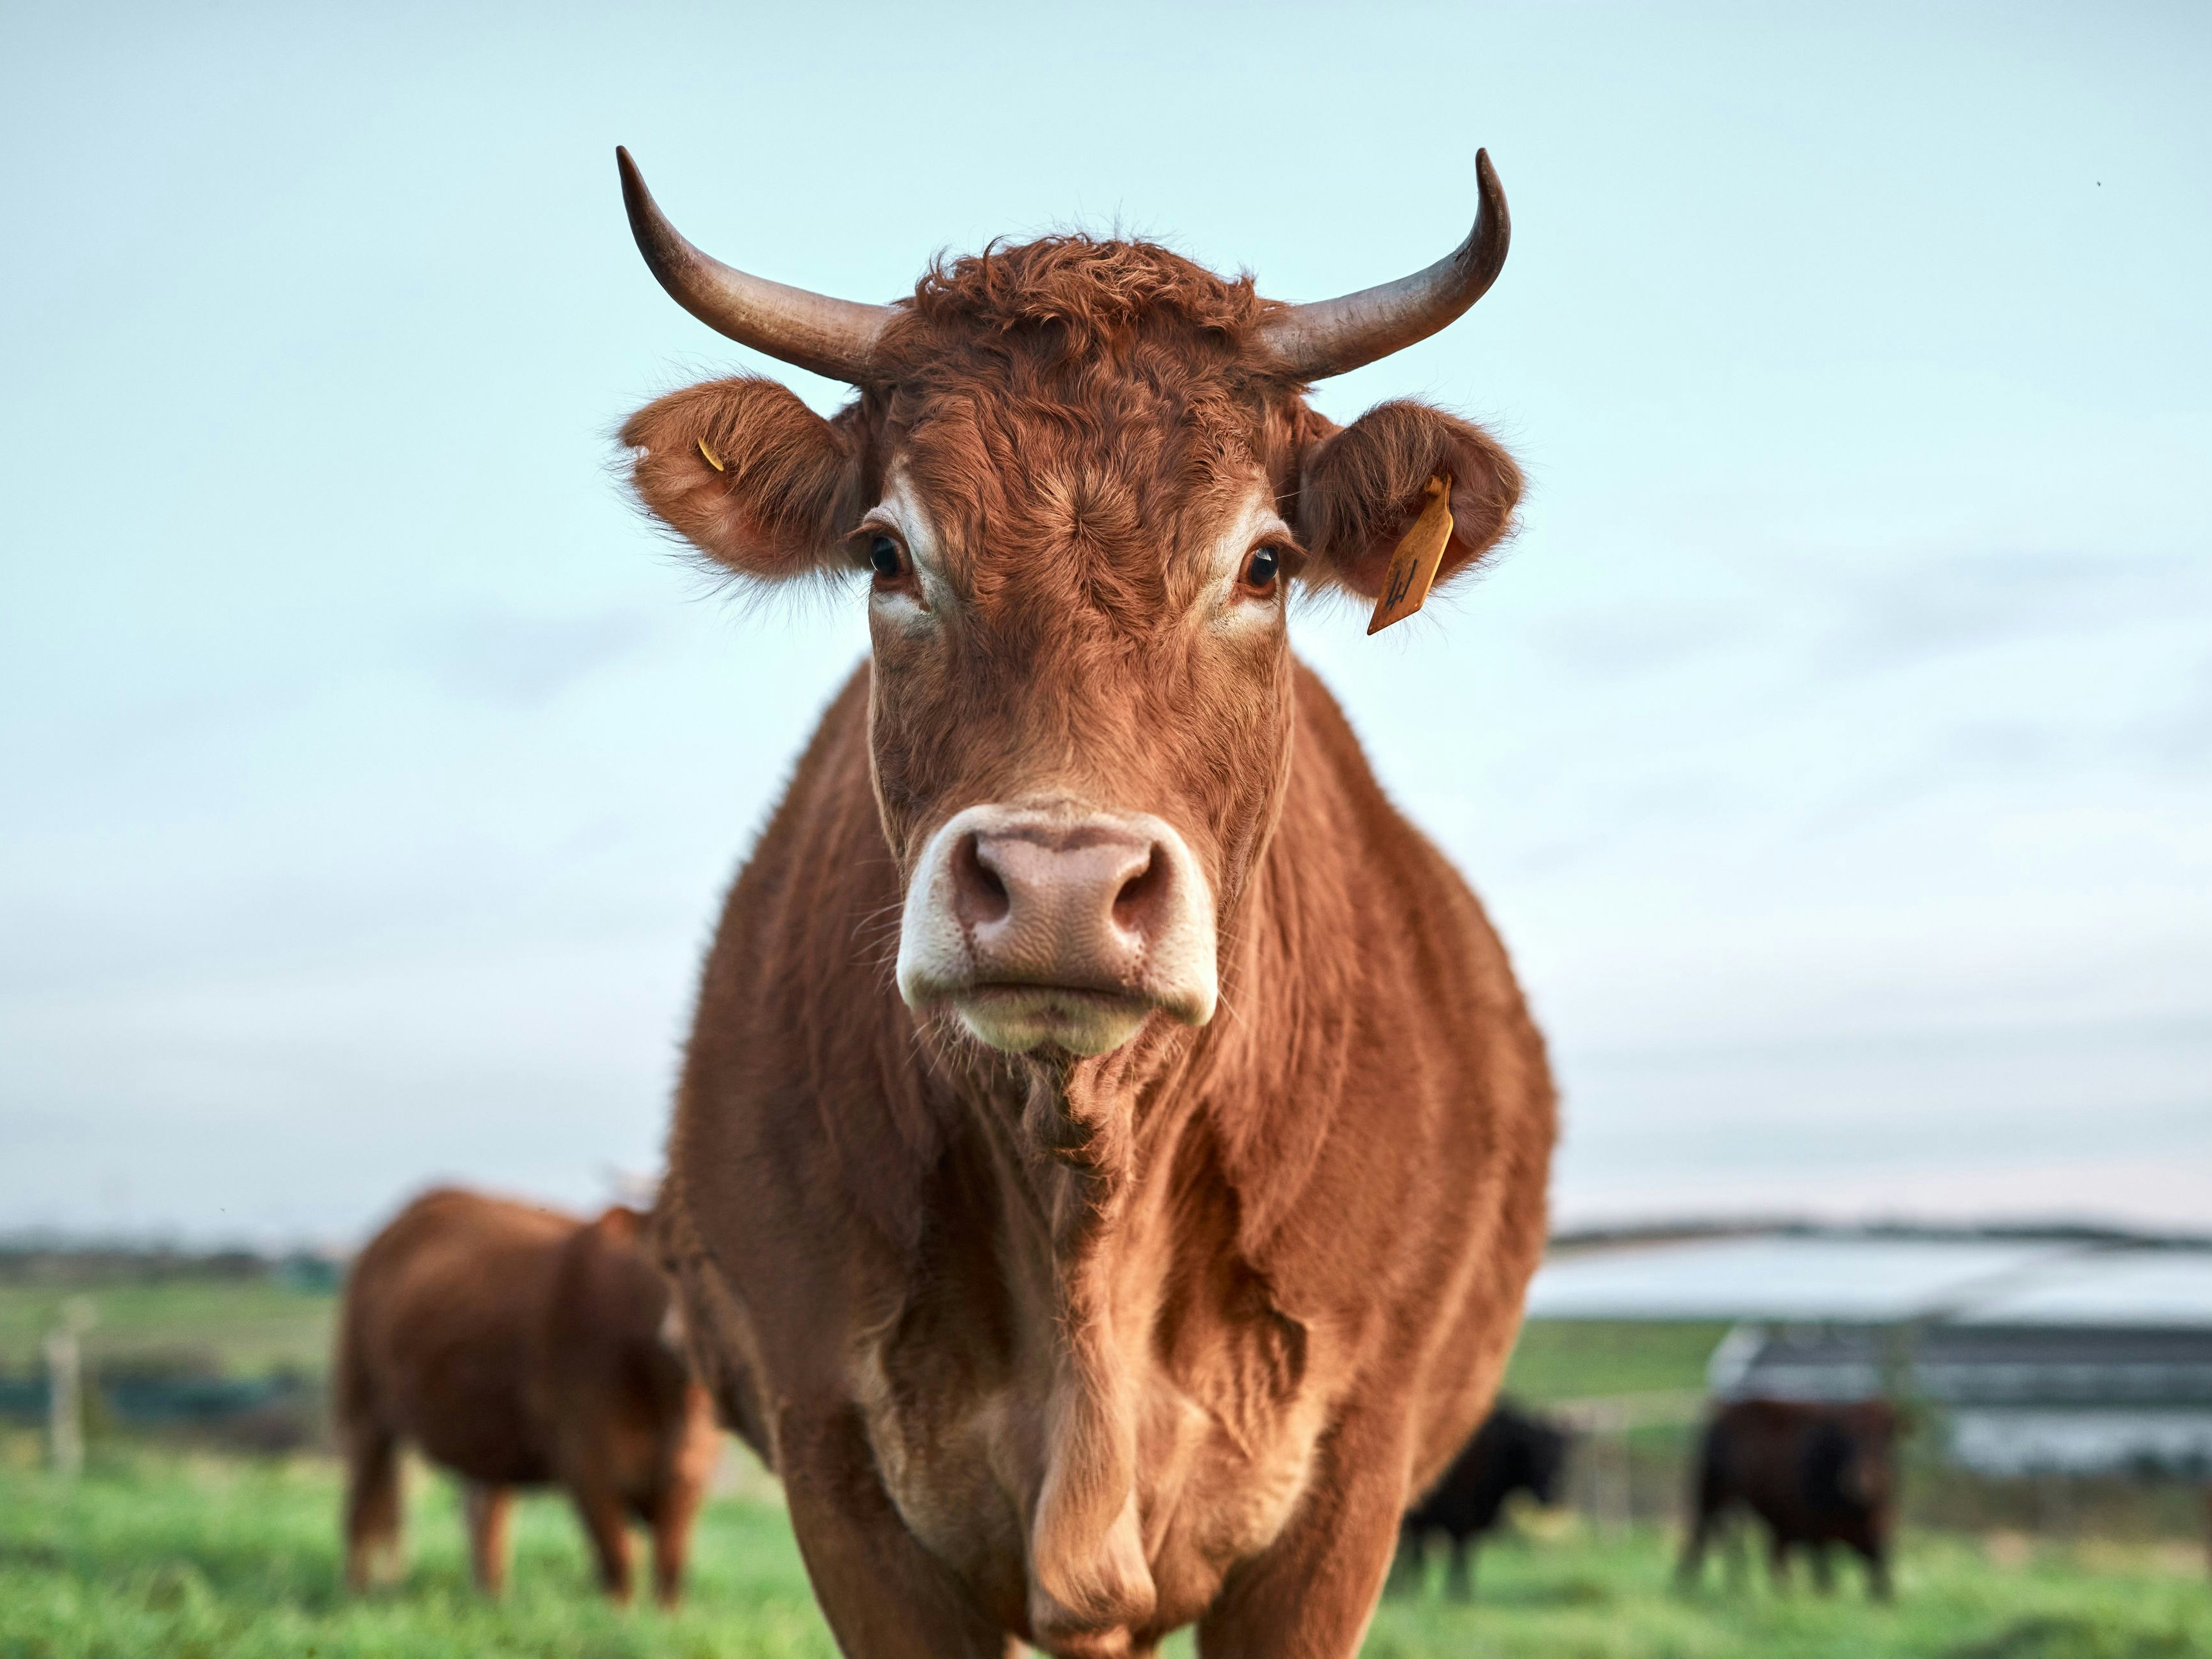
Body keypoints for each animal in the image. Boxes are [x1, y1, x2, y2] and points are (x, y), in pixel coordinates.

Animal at [334, 1188, 721, 1605]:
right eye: (664, 1260)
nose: (687, 1337)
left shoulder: (690, 1477)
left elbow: (670, 1565)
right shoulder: (585, 1463)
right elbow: (618, 1561)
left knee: (481, 1517)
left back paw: (491, 1601)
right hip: (363, 1411)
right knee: (362, 1509)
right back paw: (356, 1599)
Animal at [1393, 1401, 1571, 1599]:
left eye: (1561, 1457)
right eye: (1535, 1455)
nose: (1553, 1493)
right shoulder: (1458, 1515)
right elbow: (1457, 1552)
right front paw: (1457, 1592)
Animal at [1676, 1398, 1900, 1600]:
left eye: (1883, 1438)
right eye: (1845, 1439)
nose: (1864, 1481)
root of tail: (1723, 1416)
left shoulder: (1877, 1534)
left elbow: (1879, 1569)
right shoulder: (1813, 1533)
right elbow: (1822, 1571)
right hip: (1713, 1500)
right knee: (1704, 1538)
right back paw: (1686, 1582)